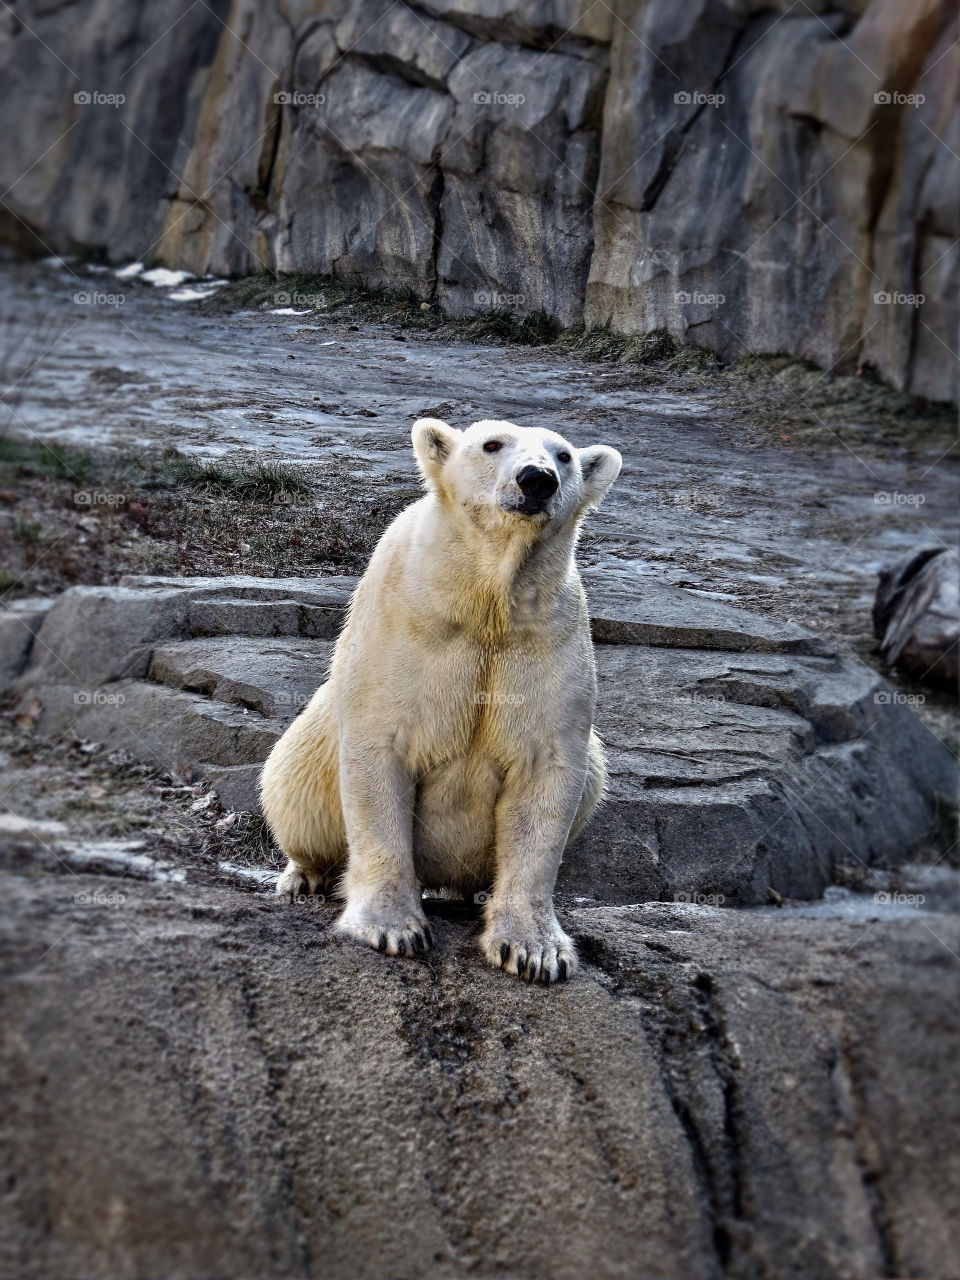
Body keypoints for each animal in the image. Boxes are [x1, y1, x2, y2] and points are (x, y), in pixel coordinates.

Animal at [260, 417, 622, 983]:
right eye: (492, 444)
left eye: (563, 456)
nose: (537, 479)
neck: (485, 596)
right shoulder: (406, 624)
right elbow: (379, 755)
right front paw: (393, 929)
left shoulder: (545, 636)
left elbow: (547, 772)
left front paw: (534, 950)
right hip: (307, 753)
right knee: (291, 785)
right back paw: (304, 876)